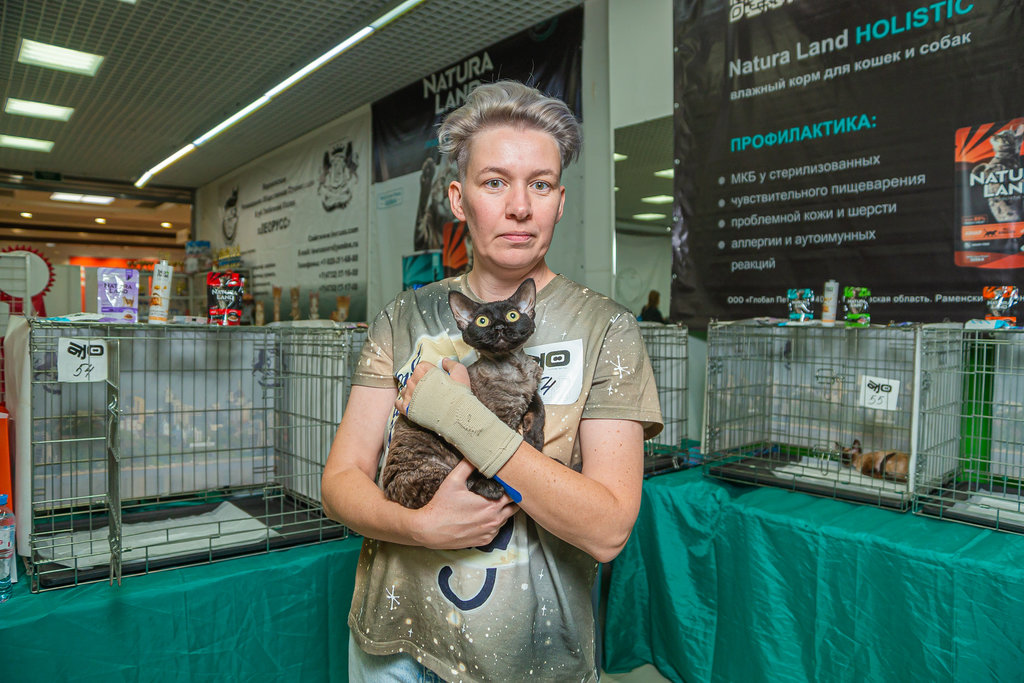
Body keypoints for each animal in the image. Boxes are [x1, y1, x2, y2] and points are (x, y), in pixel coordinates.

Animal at [381, 279, 546, 509]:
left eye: (512, 315)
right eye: (482, 321)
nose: (499, 327)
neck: (514, 367)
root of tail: (390, 495)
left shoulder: (531, 392)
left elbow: (539, 412)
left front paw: (535, 441)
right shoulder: (499, 417)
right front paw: (489, 483)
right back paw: (489, 488)